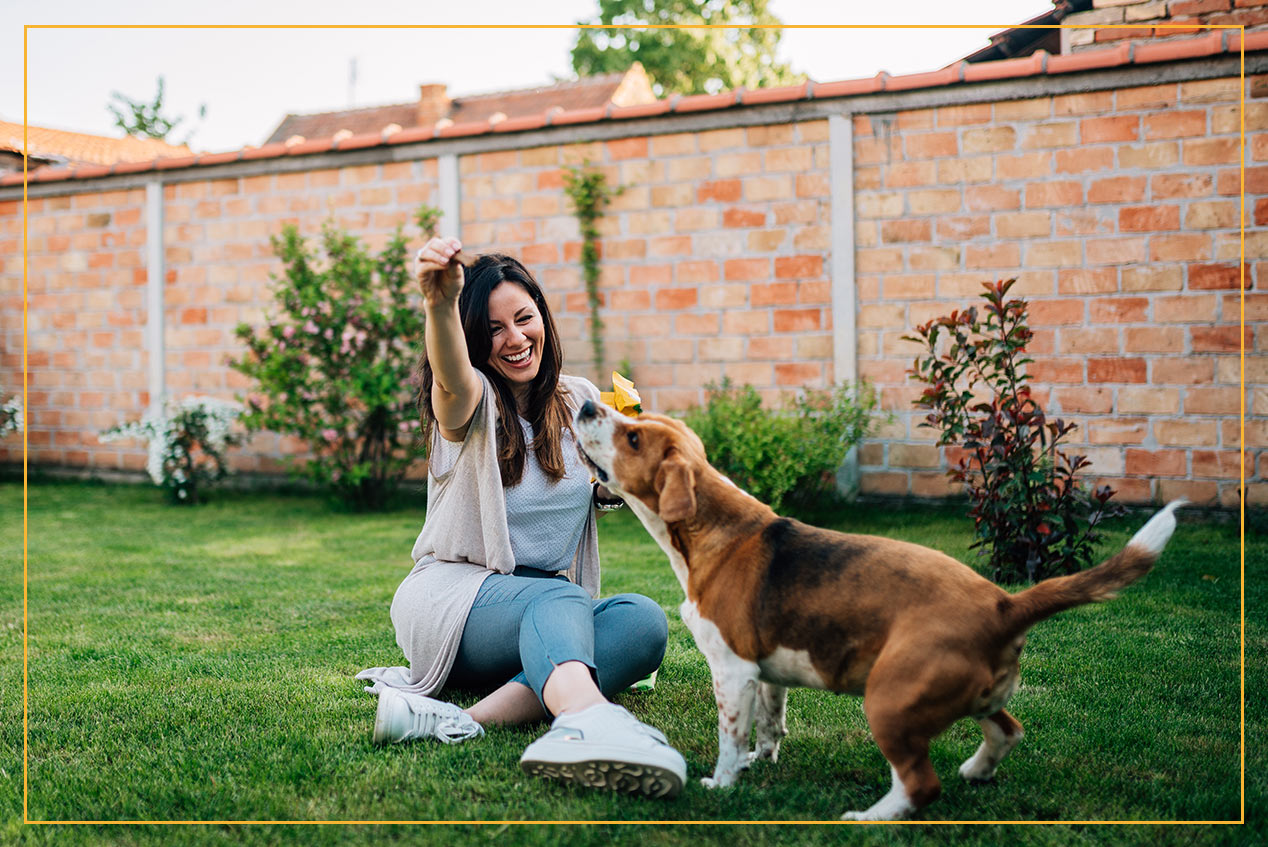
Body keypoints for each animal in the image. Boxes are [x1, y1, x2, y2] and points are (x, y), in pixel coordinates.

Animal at [575, 403, 1176, 821]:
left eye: (632, 436)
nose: (583, 406)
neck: (712, 530)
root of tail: (1005, 602)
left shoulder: (732, 671)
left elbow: (730, 739)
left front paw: (723, 784)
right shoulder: (767, 674)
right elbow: (768, 727)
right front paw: (759, 762)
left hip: (889, 701)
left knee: (920, 783)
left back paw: (871, 818)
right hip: (978, 697)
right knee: (1008, 730)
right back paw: (976, 771)